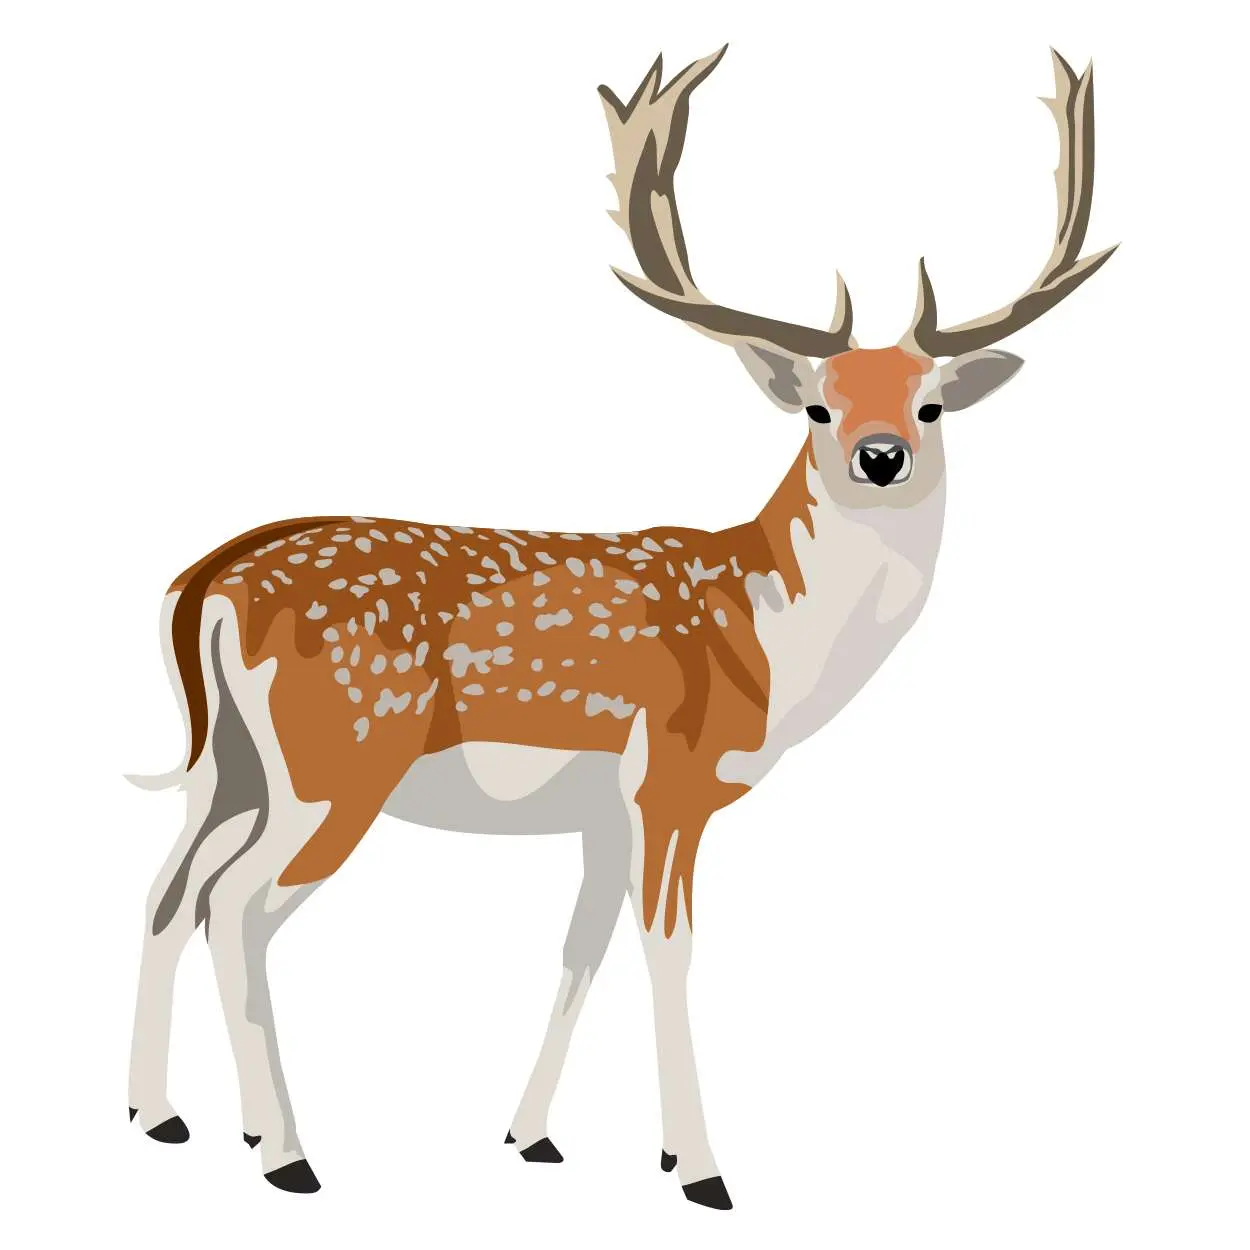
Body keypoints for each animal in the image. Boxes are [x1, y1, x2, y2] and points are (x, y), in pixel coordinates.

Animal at [127, 46, 1115, 1210]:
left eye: (931, 405)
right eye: (816, 406)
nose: (881, 456)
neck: (769, 635)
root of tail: (206, 579)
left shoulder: (605, 813)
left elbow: (580, 948)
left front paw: (532, 1137)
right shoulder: (673, 777)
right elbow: (667, 949)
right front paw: (699, 1168)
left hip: (229, 761)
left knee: (168, 887)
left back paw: (162, 1116)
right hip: (339, 756)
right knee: (233, 906)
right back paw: (284, 1151)